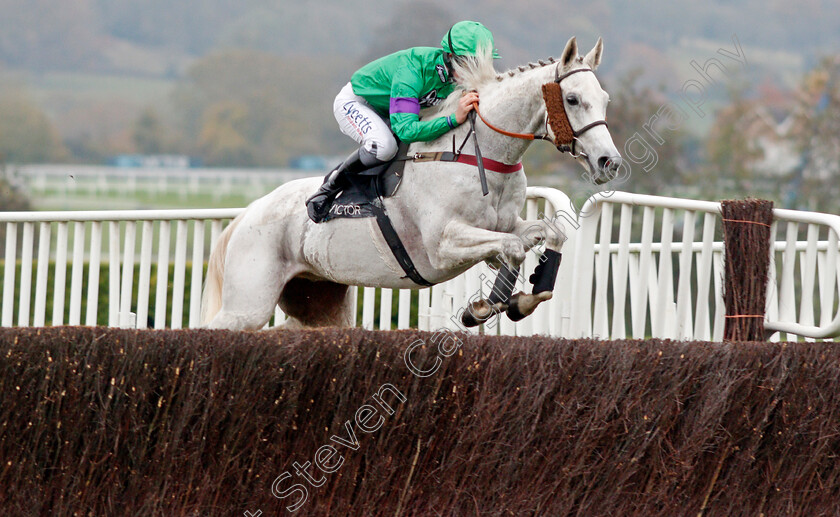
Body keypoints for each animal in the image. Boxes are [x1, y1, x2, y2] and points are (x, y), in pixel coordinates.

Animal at [202, 36, 624, 328]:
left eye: (604, 98)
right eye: (572, 98)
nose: (610, 162)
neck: (481, 155)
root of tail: (246, 215)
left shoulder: (504, 224)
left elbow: (546, 234)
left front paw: (522, 297)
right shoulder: (442, 245)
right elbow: (513, 248)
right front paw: (484, 307)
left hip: (318, 300)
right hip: (249, 303)